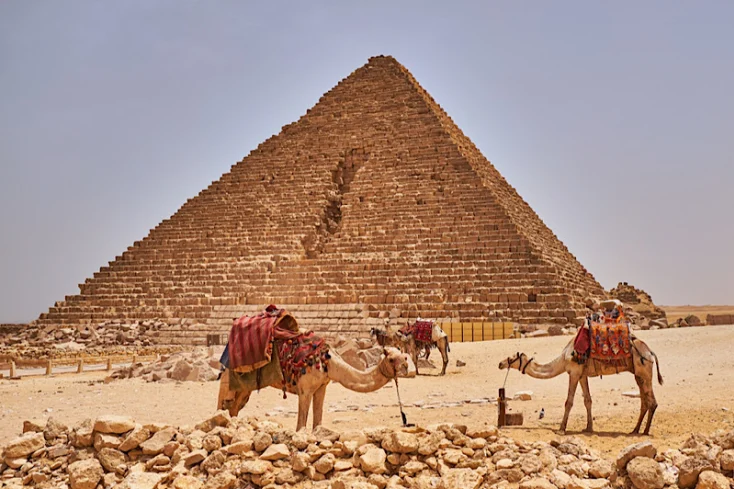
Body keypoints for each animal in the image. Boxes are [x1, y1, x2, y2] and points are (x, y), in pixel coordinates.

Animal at [217, 346, 414, 428]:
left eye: (404, 356)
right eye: (391, 359)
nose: (406, 367)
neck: (330, 363)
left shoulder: (321, 387)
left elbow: (317, 422)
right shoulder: (305, 389)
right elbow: (301, 426)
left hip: (245, 388)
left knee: (234, 407)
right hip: (230, 378)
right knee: (222, 405)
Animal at [500, 336, 668, 434]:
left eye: (511, 358)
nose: (500, 364)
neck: (563, 358)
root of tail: (650, 352)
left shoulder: (574, 373)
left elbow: (569, 402)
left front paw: (561, 429)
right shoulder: (582, 375)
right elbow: (588, 400)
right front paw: (588, 428)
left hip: (644, 370)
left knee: (652, 402)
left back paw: (645, 431)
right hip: (638, 374)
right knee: (644, 401)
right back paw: (635, 430)